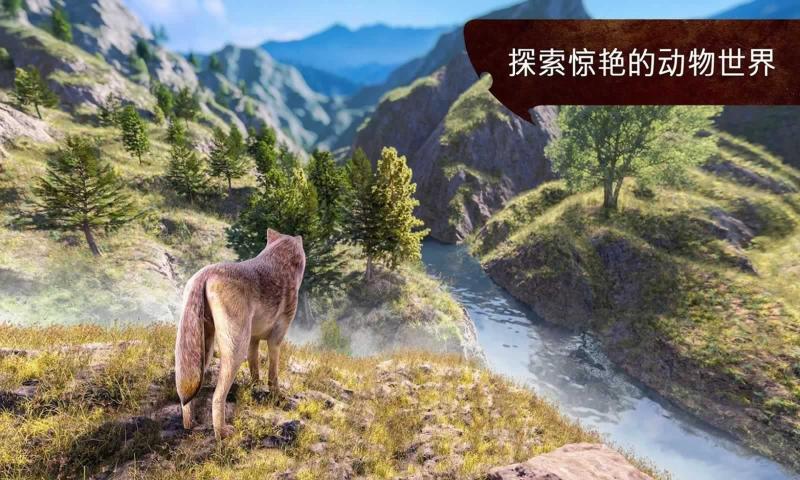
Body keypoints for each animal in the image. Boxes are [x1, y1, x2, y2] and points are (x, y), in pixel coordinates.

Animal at [175, 228, 305, 440]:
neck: (280, 263)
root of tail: (206, 273)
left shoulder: (254, 340)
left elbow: (255, 370)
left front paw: (255, 389)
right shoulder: (275, 341)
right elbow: (273, 374)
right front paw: (276, 396)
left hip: (204, 351)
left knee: (187, 398)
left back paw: (189, 425)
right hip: (235, 352)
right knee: (217, 396)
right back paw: (222, 432)